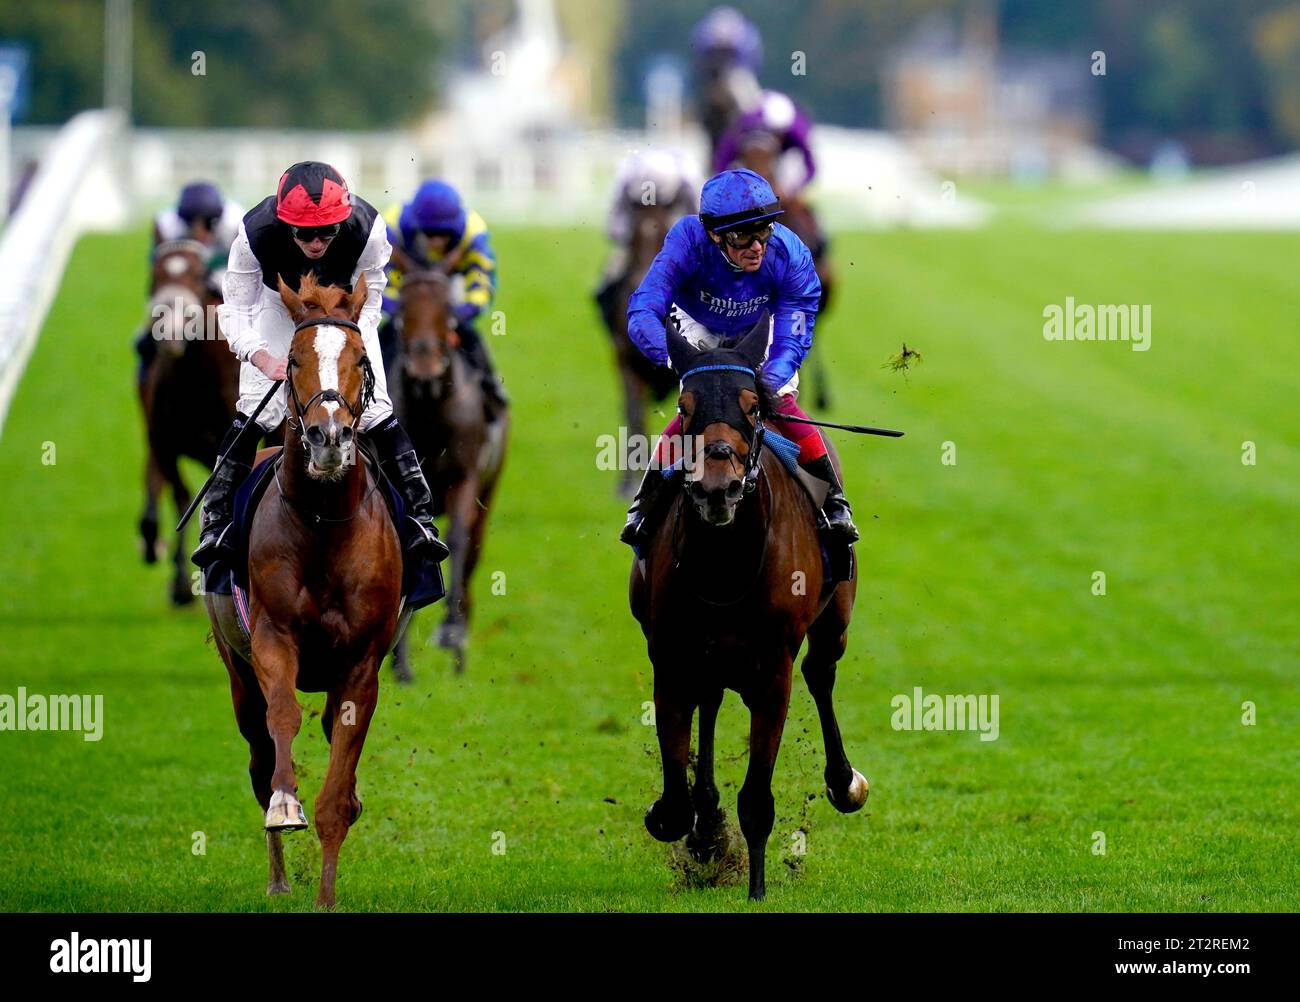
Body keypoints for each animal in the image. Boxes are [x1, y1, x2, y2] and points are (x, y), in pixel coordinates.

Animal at [137, 243, 239, 603]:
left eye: (196, 275)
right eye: (156, 276)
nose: (169, 334)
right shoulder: (164, 443)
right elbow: (181, 496)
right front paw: (180, 582)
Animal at [205, 272, 405, 909]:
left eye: (361, 359)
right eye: (292, 361)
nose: (329, 438)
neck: (321, 523)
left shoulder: (362, 662)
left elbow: (339, 785)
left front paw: (327, 895)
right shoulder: (272, 639)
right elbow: (284, 718)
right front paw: (285, 803)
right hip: (236, 671)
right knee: (259, 750)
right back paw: (277, 877)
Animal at [384, 270, 506, 675]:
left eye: (447, 311)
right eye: (403, 312)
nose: (425, 370)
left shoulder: (464, 478)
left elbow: (457, 539)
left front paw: (452, 636)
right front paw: (401, 664)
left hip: (488, 489)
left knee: (470, 552)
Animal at [626, 315, 863, 899]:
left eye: (753, 407)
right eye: (684, 407)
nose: (718, 488)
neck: (724, 560)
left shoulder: (772, 668)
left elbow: (757, 798)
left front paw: (755, 889)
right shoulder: (672, 654)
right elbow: (674, 800)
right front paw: (699, 830)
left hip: (834, 621)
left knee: (820, 673)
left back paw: (844, 782)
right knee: (710, 700)